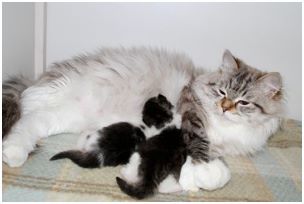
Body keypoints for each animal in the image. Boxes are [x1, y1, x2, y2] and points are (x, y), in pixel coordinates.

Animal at [1, 47, 282, 191]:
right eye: (222, 92)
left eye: (243, 101)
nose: (225, 108)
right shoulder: (189, 108)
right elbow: (199, 145)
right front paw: (206, 173)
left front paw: (194, 179)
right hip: (60, 91)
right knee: (25, 111)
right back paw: (14, 150)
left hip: (64, 116)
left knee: (30, 121)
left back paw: (14, 152)